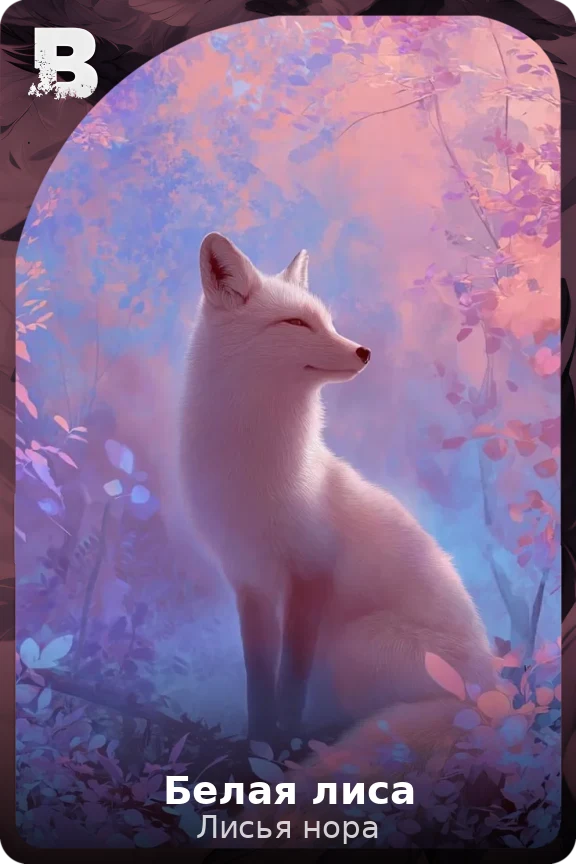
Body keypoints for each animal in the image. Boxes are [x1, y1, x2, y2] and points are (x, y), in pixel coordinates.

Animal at [179, 232, 495, 768]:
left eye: (327, 322)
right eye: (295, 322)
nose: (364, 351)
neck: (252, 469)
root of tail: (494, 700)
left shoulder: (311, 571)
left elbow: (290, 682)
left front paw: (284, 745)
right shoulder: (249, 580)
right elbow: (259, 683)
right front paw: (256, 747)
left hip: (351, 648)